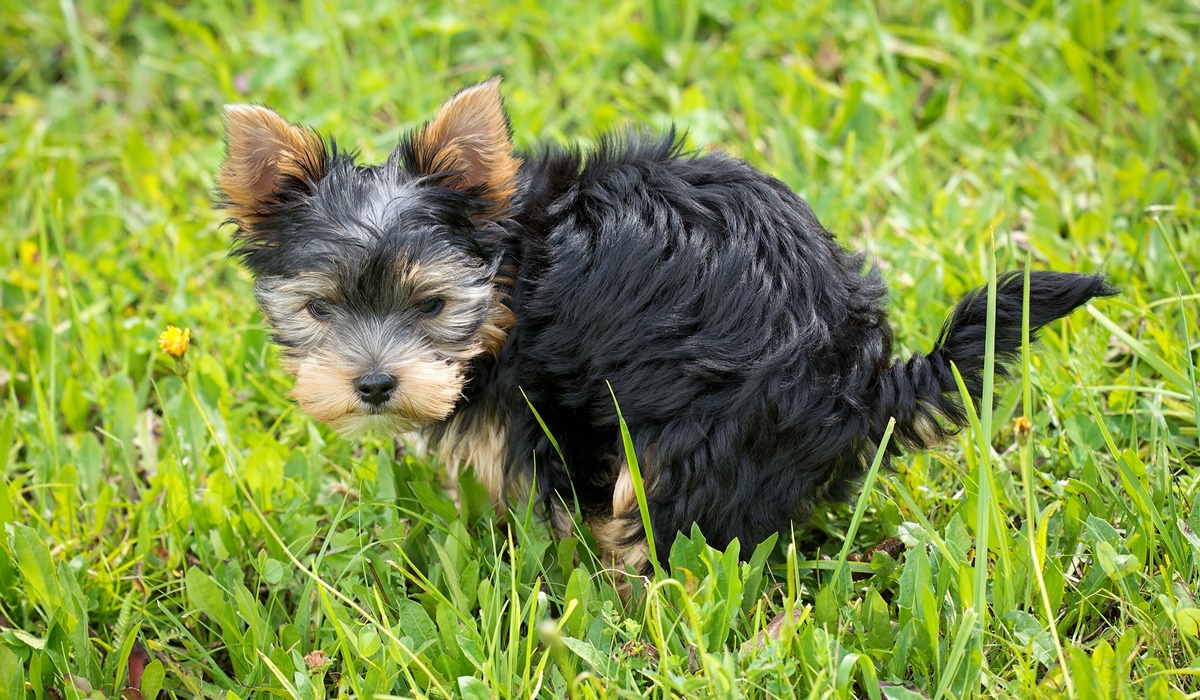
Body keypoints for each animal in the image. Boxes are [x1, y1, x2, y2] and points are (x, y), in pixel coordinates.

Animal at [216, 76, 1113, 581]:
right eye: (321, 308)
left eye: (431, 306)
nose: (373, 385)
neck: (511, 274)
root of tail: (866, 377)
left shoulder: (551, 406)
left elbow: (554, 495)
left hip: (707, 431)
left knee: (664, 521)